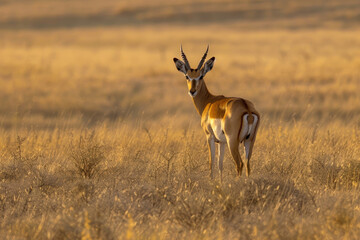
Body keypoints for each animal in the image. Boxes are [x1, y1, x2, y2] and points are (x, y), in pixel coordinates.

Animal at [173, 45, 260, 180]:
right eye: (187, 76)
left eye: (201, 76)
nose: (192, 91)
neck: (209, 101)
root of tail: (247, 108)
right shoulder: (222, 142)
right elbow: (220, 164)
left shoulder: (209, 136)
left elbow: (211, 161)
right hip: (249, 141)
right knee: (247, 164)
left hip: (232, 141)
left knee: (239, 163)